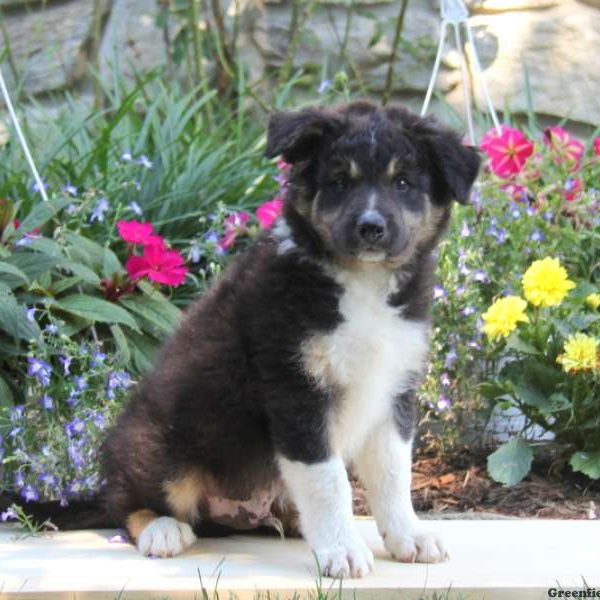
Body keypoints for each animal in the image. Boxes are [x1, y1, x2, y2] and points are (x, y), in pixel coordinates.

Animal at [15, 101, 478, 580]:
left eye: (403, 183)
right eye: (338, 182)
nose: (371, 227)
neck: (360, 281)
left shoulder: (393, 388)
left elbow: (393, 474)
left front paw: (409, 536)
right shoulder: (295, 390)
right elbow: (329, 481)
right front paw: (343, 551)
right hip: (159, 446)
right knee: (124, 502)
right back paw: (161, 529)